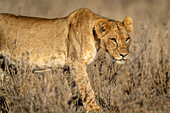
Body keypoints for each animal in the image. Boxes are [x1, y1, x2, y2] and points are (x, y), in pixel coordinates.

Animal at [0, 8, 133, 112]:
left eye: (127, 39)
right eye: (113, 39)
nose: (124, 55)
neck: (95, 38)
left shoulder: (67, 67)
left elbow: (71, 89)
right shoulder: (76, 63)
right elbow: (87, 88)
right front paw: (95, 109)